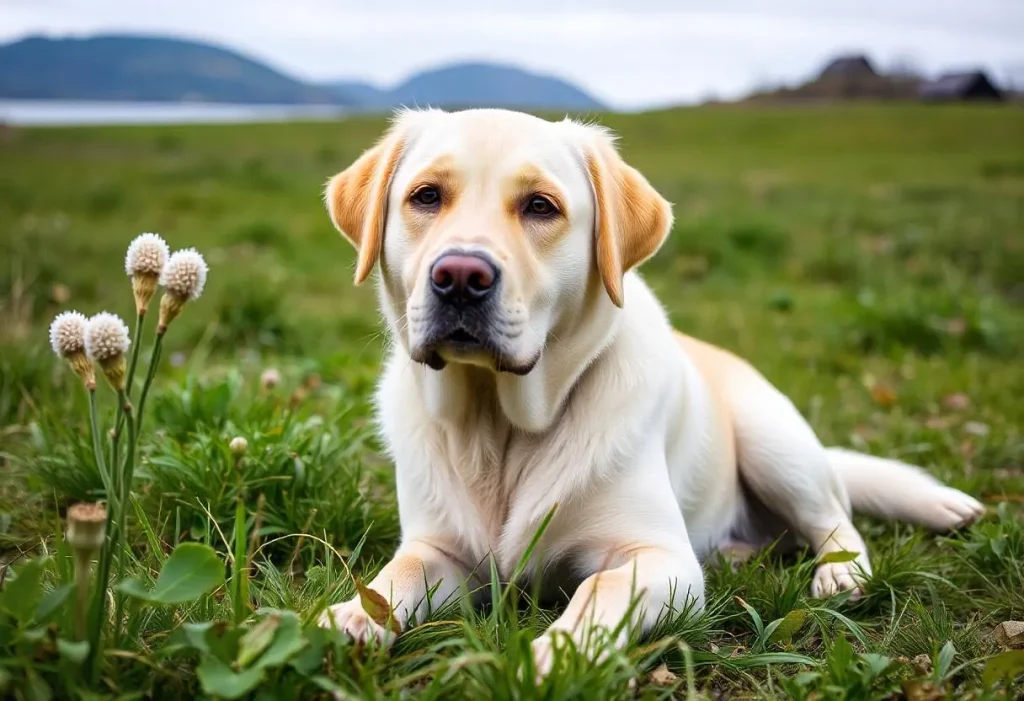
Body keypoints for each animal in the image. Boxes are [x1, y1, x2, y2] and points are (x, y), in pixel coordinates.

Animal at [317, 106, 983, 675]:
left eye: (540, 206)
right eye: (426, 196)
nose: (459, 276)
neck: (499, 424)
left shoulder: (660, 559)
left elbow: (598, 588)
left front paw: (556, 654)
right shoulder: (442, 551)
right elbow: (394, 576)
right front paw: (349, 617)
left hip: (774, 441)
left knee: (834, 518)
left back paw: (840, 575)